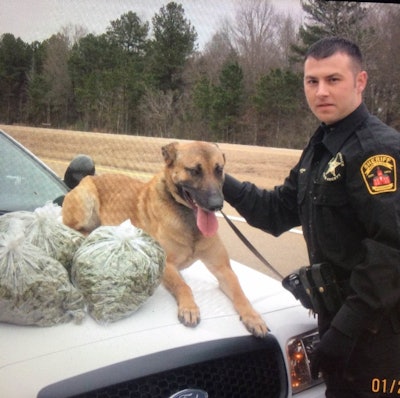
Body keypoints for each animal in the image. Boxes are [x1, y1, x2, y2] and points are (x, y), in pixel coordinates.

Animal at [62, 140, 268, 336]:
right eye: (194, 171)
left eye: (219, 169)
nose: (217, 205)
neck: (189, 219)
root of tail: (89, 177)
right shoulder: (167, 265)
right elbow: (184, 286)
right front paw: (189, 308)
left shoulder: (223, 269)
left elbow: (240, 293)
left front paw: (253, 317)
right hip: (87, 200)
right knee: (73, 227)